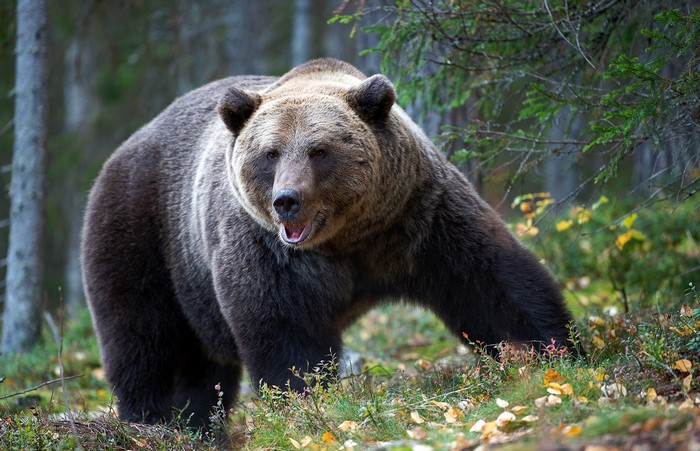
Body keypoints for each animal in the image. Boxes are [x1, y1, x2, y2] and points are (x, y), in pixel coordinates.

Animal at [81, 58, 578, 427]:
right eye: (270, 153)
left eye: (319, 150)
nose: (286, 200)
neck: (348, 239)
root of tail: (124, 148)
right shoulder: (270, 250)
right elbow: (285, 329)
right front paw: (303, 402)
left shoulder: (417, 216)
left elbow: (488, 283)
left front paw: (556, 351)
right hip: (146, 233)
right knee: (144, 339)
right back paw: (154, 420)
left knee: (200, 369)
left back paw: (195, 422)